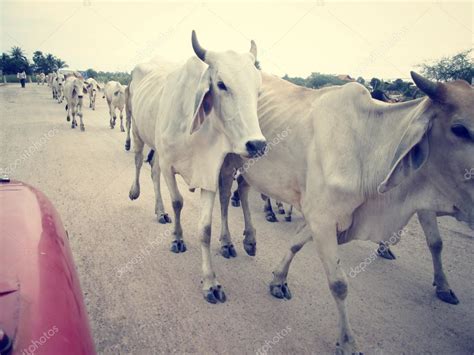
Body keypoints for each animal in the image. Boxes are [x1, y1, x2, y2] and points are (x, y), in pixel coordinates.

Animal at [127, 29, 266, 304]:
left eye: (257, 90)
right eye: (221, 84)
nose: (257, 144)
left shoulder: (208, 172)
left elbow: (206, 228)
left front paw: (210, 282)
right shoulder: (170, 164)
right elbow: (178, 202)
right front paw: (177, 239)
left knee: (153, 171)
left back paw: (160, 211)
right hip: (137, 129)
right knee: (139, 161)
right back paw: (135, 192)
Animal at [217, 71, 472, 354]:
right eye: (459, 129)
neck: (367, 149)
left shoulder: (323, 217)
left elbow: (295, 244)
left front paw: (278, 281)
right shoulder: (323, 220)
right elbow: (338, 284)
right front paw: (348, 342)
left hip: (252, 168)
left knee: (243, 188)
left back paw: (250, 239)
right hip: (227, 159)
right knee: (225, 193)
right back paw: (227, 242)